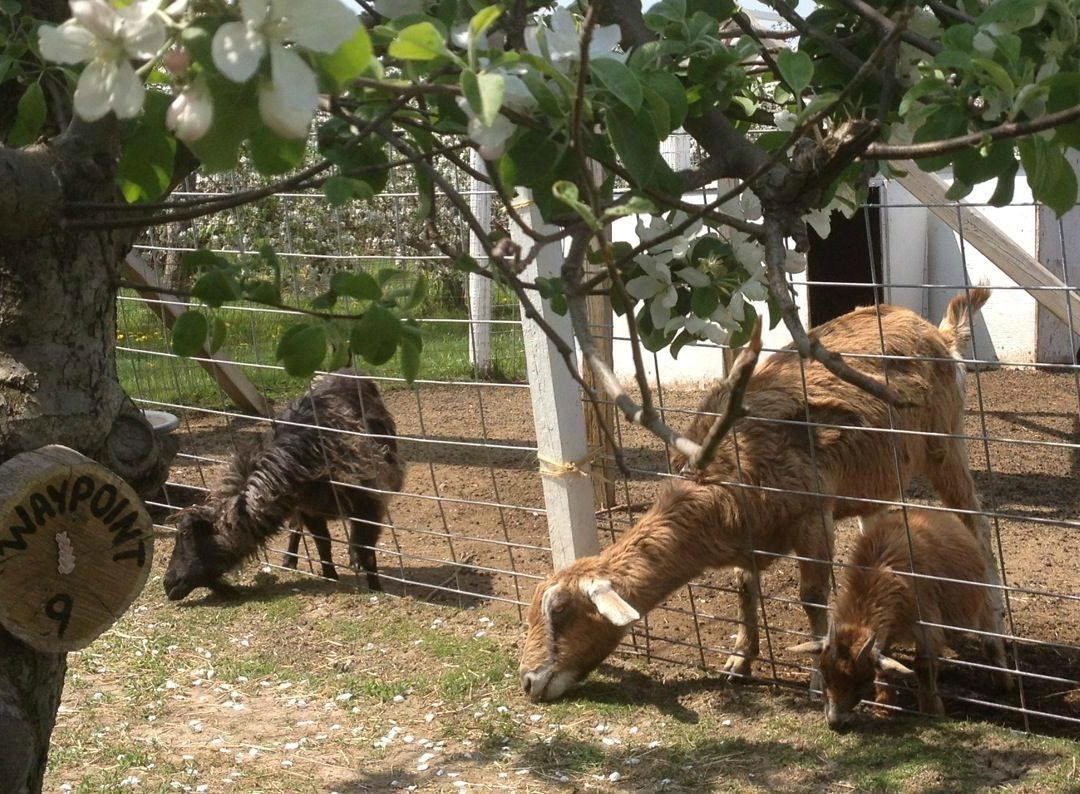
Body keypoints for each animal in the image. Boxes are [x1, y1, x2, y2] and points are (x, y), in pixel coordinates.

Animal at [164, 369, 406, 600]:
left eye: (186, 534)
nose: (168, 584)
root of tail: (347, 370)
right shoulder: (309, 509)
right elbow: (323, 544)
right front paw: (330, 577)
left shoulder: (369, 505)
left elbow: (367, 553)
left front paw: (375, 587)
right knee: (296, 527)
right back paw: (289, 560)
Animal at [514, 289, 993, 700]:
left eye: (562, 612)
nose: (528, 681)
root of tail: (934, 330)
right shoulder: (748, 535)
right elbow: (744, 588)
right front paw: (739, 661)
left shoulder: (812, 517)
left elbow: (811, 597)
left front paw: (818, 678)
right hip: (877, 475)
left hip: (945, 443)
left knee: (976, 521)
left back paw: (993, 625)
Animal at [786, 505, 1010, 730]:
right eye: (825, 675)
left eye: (860, 681)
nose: (834, 721)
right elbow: (885, 667)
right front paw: (884, 706)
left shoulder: (927, 625)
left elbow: (923, 666)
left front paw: (932, 711)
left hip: (980, 599)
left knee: (990, 633)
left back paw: (1003, 678)